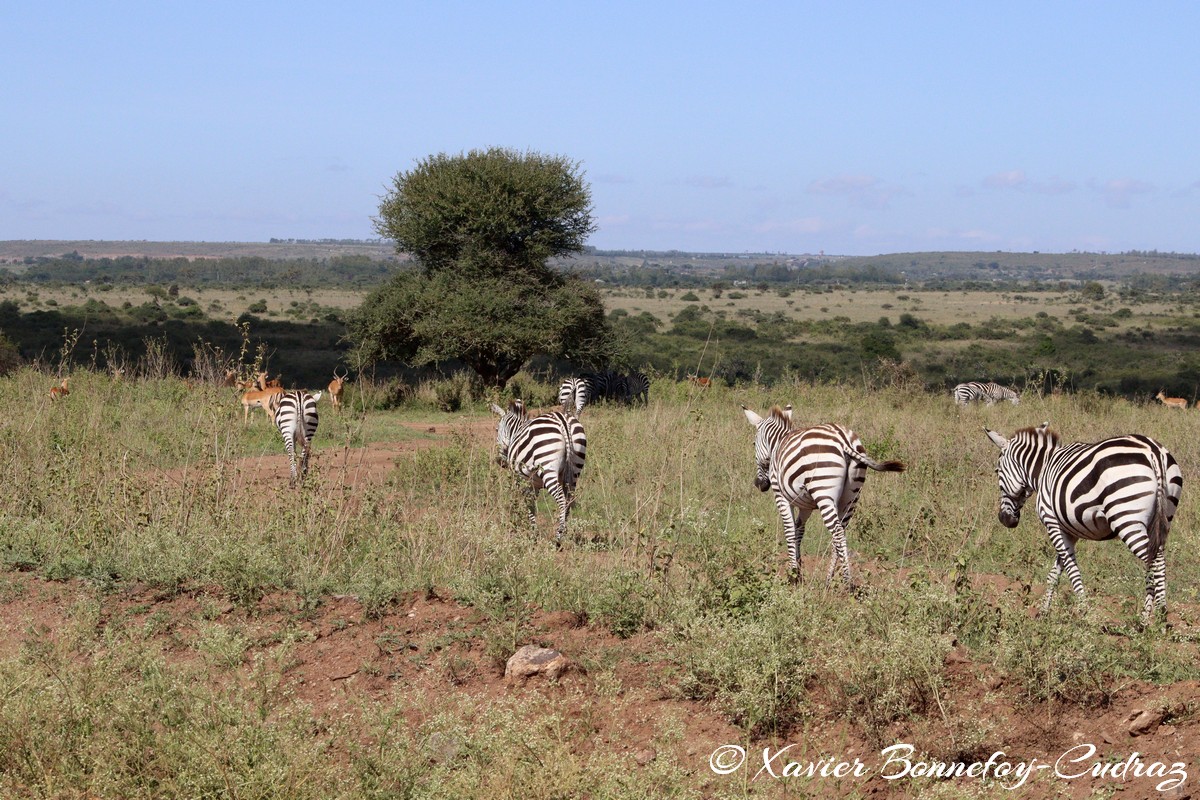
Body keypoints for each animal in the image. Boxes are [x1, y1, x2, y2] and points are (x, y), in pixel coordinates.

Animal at [489, 400, 587, 546]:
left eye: (496, 429)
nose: (501, 462)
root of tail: (562, 420)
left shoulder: (524, 482)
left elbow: (529, 506)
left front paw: (533, 535)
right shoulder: (534, 484)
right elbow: (532, 506)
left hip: (547, 467)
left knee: (561, 500)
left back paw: (558, 538)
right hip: (575, 470)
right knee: (569, 500)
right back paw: (564, 533)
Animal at [743, 405, 905, 588]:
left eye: (754, 443)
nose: (760, 484)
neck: (779, 443)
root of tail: (844, 440)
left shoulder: (781, 496)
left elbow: (790, 531)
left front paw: (793, 575)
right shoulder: (805, 505)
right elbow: (799, 530)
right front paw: (798, 570)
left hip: (824, 492)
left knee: (837, 532)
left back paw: (847, 582)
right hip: (851, 498)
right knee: (841, 532)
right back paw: (828, 580)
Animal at [984, 423, 1182, 623]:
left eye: (997, 471)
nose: (1005, 520)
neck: (1042, 470)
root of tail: (1153, 450)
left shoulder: (1053, 523)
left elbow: (1071, 569)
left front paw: (1085, 613)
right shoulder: (1069, 531)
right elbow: (1055, 573)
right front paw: (1043, 613)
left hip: (1126, 518)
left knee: (1156, 560)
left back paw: (1161, 615)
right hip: (1162, 520)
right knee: (1154, 561)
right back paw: (1144, 620)